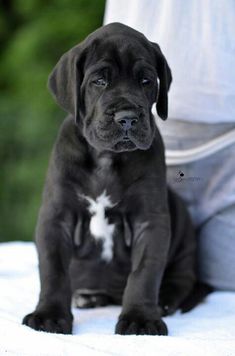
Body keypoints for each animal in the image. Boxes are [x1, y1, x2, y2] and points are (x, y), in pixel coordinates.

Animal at [22, 23, 200, 336]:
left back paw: (164, 300)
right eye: (99, 81)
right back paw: (88, 297)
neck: (105, 158)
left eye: (146, 80)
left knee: (181, 279)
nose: (127, 117)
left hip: (181, 225)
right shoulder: (56, 218)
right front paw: (49, 315)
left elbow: (144, 272)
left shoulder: (149, 221)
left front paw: (141, 318)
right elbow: (53, 270)